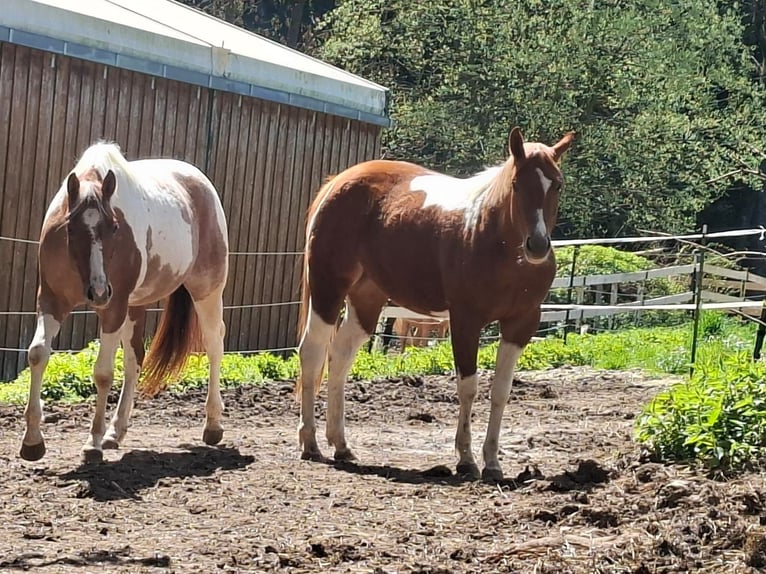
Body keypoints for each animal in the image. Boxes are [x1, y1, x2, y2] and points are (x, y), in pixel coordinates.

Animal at [19, 142, 229, 464]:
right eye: (70, 228)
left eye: (115, 227)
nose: (99, 291)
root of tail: (200, 183)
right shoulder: (52, 301)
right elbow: (37, 354)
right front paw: (32, 441)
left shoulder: (113, 309)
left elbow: (103, 373)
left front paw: (92, 443)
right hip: (135, 306)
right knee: (135, 359)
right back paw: (115, 432)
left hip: (207, 290)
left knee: (214, 345)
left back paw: (213, 425)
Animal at [296, 127, 574, 481]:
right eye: (516, 183)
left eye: (557, 184)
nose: (537, 245)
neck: (494, 240)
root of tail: (337, 182)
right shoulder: (466, 321)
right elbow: (468, 387)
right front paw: (466, 459)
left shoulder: (521, 324)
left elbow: (501, 390)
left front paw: (493, 463)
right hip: (328, 290)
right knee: (313, 352)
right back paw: (311, 443)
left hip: (366, 301)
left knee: (341, 355)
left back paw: (341, 444)